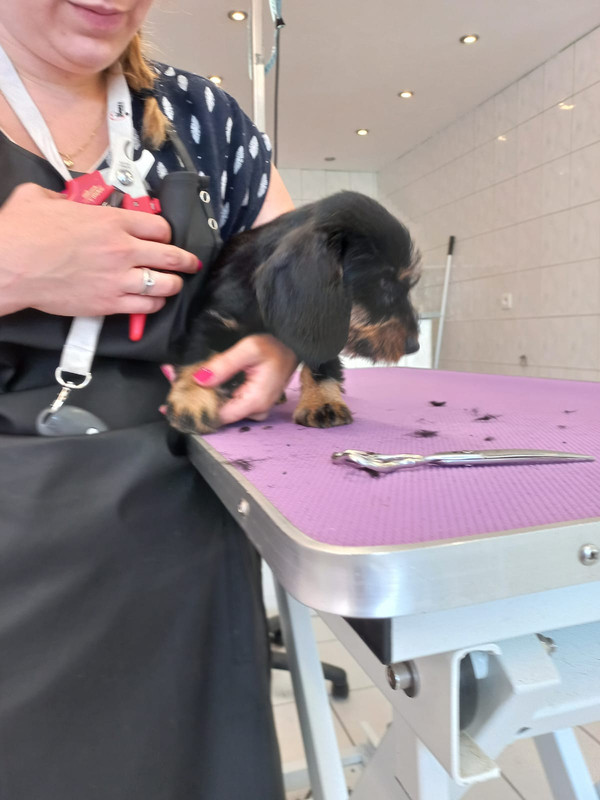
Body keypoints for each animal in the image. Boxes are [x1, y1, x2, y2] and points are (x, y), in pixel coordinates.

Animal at [166, 191, 421, 434]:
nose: (414, 346)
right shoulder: (213, 320)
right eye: (384, 285)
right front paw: (191, 400)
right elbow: (199, 360)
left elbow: (322, 365)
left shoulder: (323, 328)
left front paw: (323, 401)